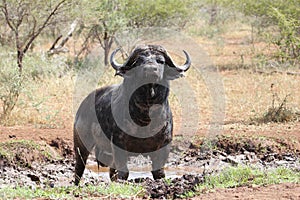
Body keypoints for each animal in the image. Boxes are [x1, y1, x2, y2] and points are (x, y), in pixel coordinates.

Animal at [74, 44, 191, 185]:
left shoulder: (164, 145)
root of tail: (82, 106)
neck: (145, 117)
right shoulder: (118, 145)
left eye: (161, 61)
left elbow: (159, 172)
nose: (150, 69)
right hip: (81, 145)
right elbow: (124, 173)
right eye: (139, 61)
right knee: (79, 169)